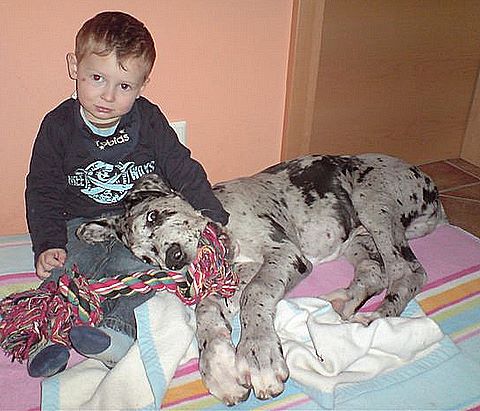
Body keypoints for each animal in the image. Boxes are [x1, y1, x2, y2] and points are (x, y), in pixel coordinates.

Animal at [76, 153, 446, 405]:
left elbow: (255, 294)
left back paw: (376, 319)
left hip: (373, 204)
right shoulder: (232, 274)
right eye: (147, 259)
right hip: (356, 238)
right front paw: (219, 365)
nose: (174, 258)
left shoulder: (284, 253)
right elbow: (207, 311)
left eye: (155, 216)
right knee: (375, 271)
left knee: (408, 272)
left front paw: (258, 354)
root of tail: (432, 189)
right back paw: (344, 302)